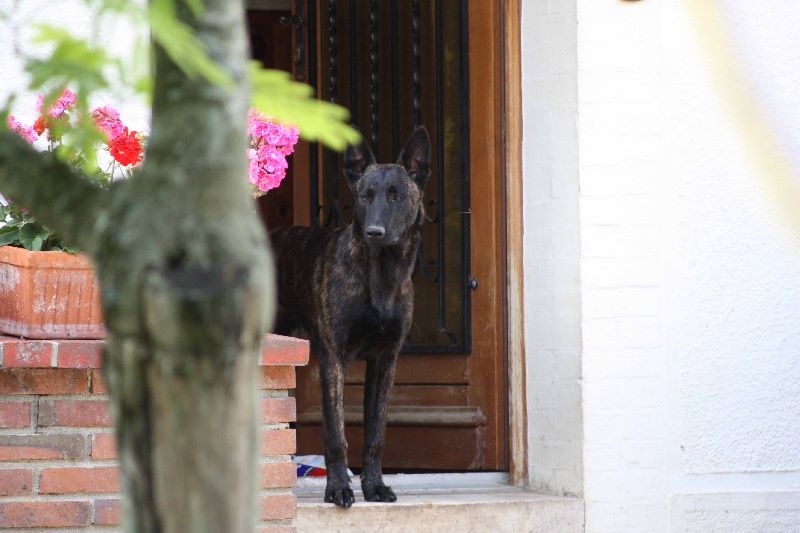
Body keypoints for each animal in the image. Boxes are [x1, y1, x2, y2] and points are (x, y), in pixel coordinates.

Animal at [270, 124, 432, 508]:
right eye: (365, 196)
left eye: (396, 196)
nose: (374, 232)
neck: (381, 275)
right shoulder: (332, 359)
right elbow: (336, 434)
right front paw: (339, 488)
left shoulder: (385, 362)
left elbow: (375, 434)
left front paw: (374, 485)